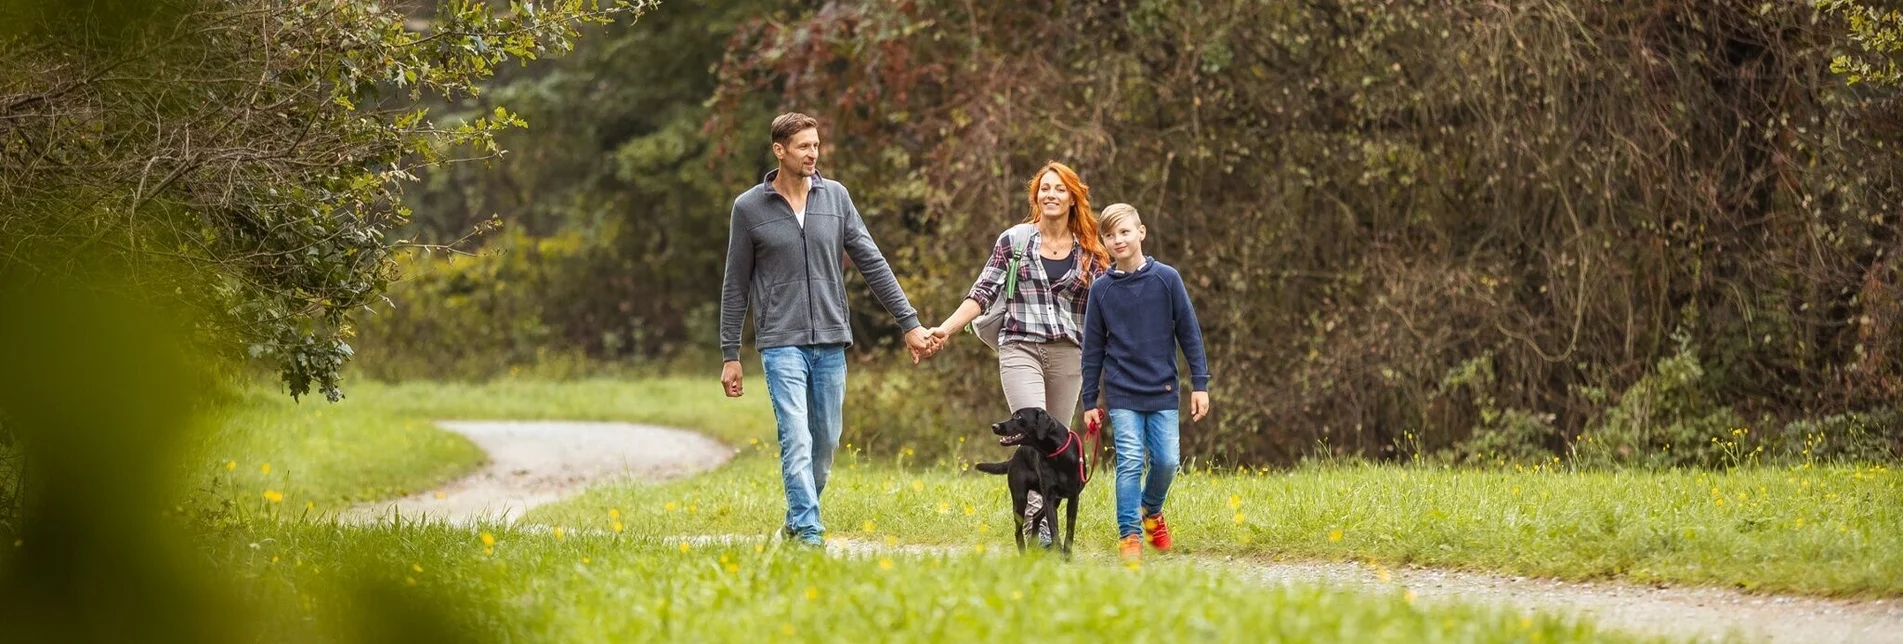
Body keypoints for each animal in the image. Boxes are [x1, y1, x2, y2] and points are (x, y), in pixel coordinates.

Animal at [981, 409, 1088, 556]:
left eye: (1018, 416)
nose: (994, 426)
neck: (1057, 455)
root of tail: (1014, 457)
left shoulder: (1073, 498)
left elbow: (1069, 530)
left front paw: (1067, 555)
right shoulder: (1049, 498)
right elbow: (1054, 530)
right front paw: (1059, 554)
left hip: (1055, 501)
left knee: (1035, 516)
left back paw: (1033, 545)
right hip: (1020, 500)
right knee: (1018, 531)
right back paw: (1024, 554)